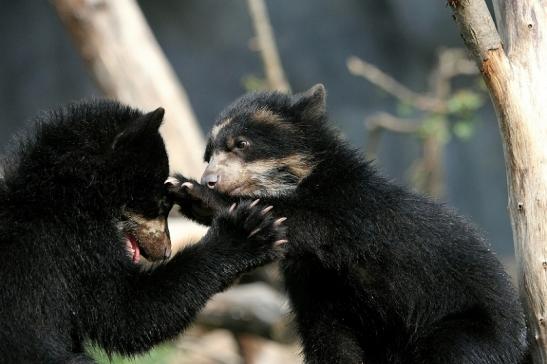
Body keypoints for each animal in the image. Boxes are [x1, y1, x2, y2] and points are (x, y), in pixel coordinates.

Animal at [168, 86, 532, 364]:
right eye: (208, 155)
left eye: (241, 144)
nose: (210, 180)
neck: (307, 180)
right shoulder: (316, 286)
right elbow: (330, 339)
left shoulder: (351, 212)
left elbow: (305, 222)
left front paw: (191, 192)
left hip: (467, 327)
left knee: (453, 350)